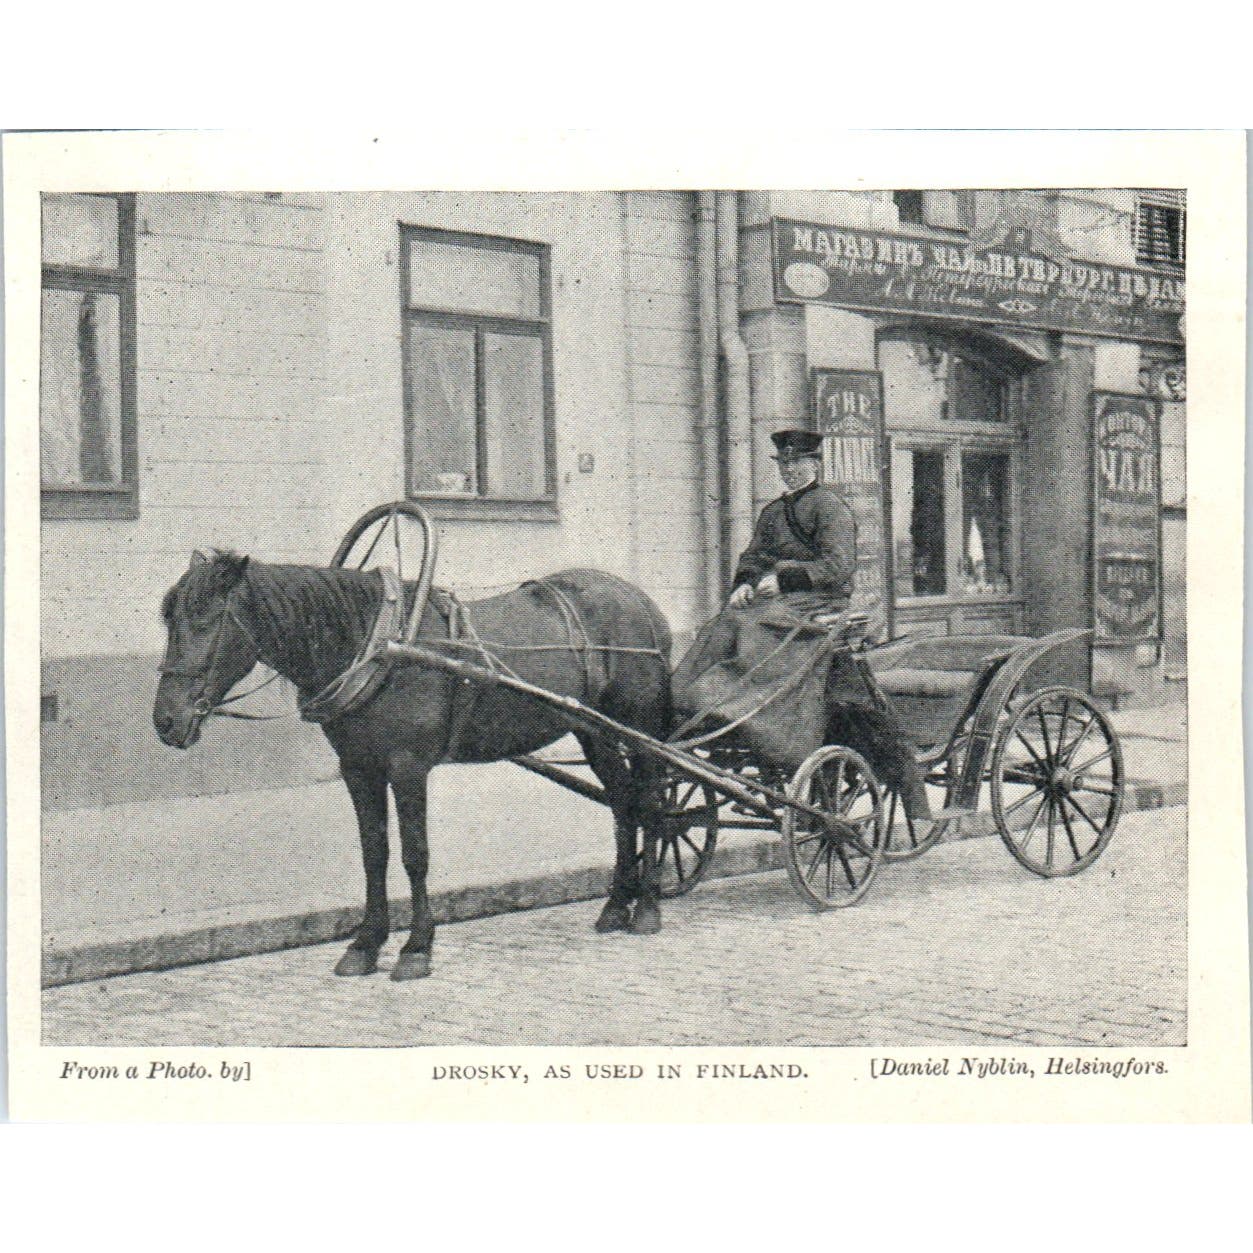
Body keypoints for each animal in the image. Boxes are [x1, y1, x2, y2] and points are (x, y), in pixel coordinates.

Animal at [156, 556, 676, 977]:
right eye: (170, 618)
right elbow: (374, 853)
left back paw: (647, 908)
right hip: (595, 732)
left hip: (640, 732)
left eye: (209, 620)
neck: (374, 645)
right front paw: (365, 945)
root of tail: (644, 603)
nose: (166, 720)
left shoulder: (407, 768)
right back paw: (615, 907)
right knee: (622, 806)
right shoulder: (358, 769)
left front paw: (416, 948)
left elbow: (415, 854)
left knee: (652, 806)